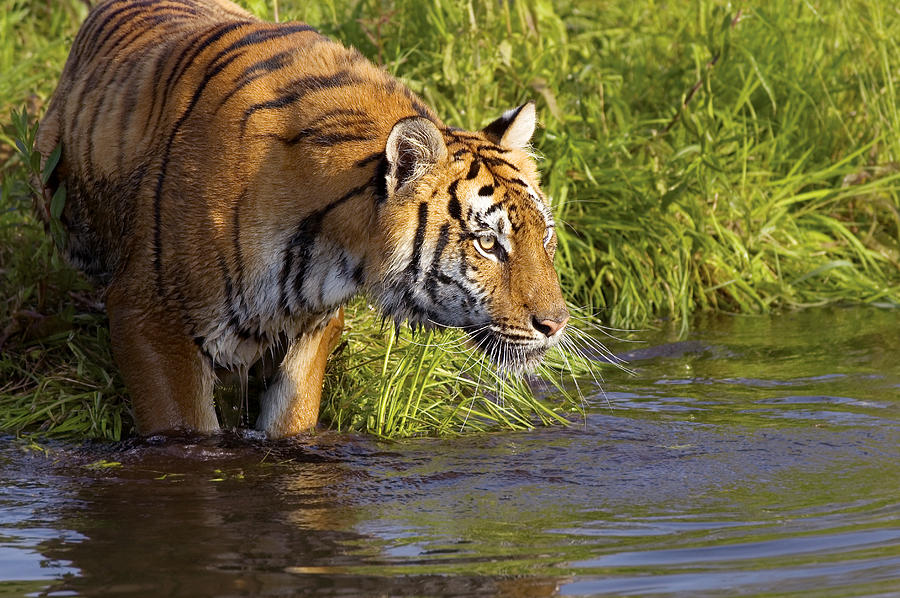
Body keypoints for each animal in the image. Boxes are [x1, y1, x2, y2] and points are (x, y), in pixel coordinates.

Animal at [37, 0, 568, 440]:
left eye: (545, 238)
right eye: (487, 243)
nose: (557, 324)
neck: (332, 252)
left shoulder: (312, 329)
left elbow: (292, 420)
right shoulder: (148, 314)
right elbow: (183, 429)